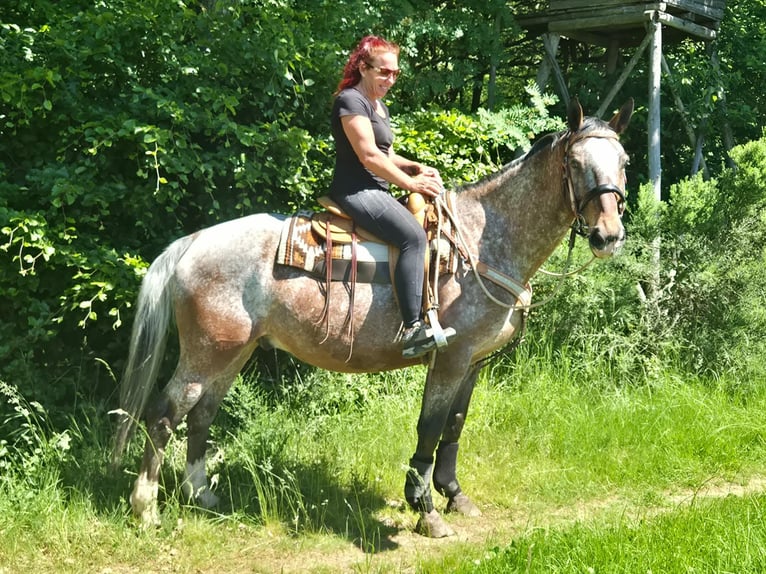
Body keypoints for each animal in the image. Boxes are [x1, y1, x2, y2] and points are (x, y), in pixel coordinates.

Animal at [112, 97, 633, 538]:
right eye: (575, 164)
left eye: (624, 162)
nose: (608, 235)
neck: (482, 241)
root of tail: (192, 242)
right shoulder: (449, 358)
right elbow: (430, 426)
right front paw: (425, 510)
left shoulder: (474, 361)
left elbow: (455, 425)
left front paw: (454, 496)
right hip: (205, 354)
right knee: (164, 415)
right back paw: (146, 510)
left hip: (233, 353)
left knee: (201, 414)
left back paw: (203, 495)